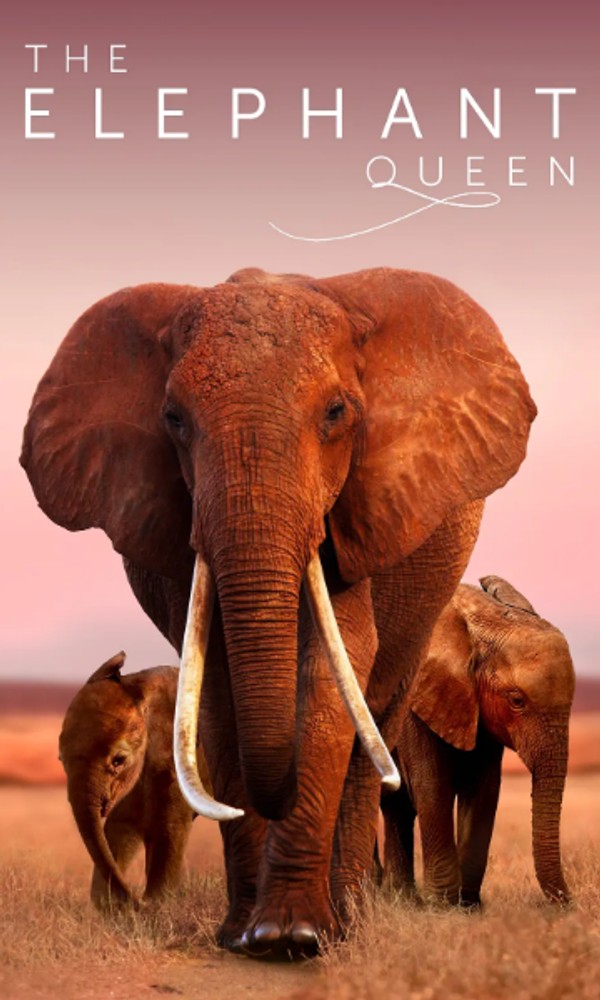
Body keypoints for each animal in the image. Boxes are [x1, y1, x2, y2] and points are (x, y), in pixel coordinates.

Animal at [59, 651, 202, 907]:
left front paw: (156, 904)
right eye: (60, 759)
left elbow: (171, 828)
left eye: (119, 760)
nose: (137, 899)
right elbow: (120, 828)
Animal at [382, 576, 575, 907]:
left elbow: (484, 789)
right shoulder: (413, 699)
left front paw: (469, 905)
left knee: (395, 807)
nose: (569, 902)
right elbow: (431, 785)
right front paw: (441, 906)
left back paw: (400, 899)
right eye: (516, 701)